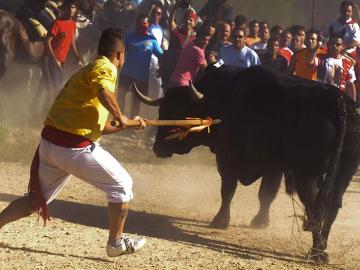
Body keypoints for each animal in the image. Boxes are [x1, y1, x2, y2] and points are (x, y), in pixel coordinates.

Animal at [136, 65, 360, 262]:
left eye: (177, 110)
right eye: (162, 110)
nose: (158, 148)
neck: (223, 97)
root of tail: (338, 101)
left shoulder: (227, 159)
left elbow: (228, 191)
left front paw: (220, 220)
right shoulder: (273, 167)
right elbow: (266, 194)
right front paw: (260, 221)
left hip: (307, 176)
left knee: (316, 209)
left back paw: (316, 253)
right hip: (343, 175)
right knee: (332, 208)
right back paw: (322, 249)